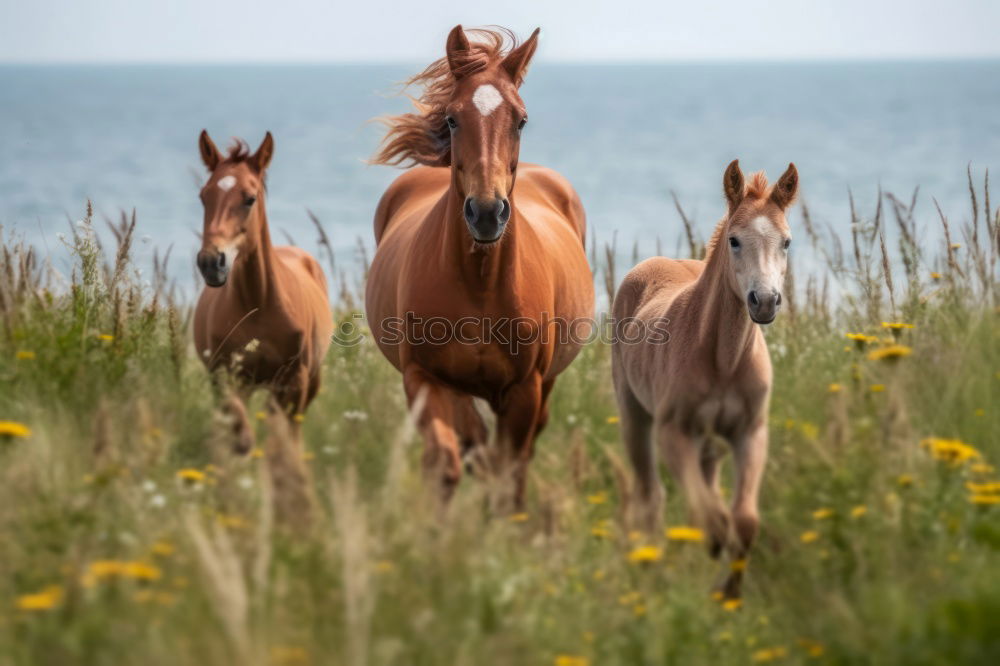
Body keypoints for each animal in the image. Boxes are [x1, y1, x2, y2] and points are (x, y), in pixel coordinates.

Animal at [193, 128, 334, 452]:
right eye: (204, 196)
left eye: (249, 198)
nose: (211, 263)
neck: (258, 305)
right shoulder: (227, 376)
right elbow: (242, 433)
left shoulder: (294, 382)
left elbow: (282, 438)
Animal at [366, 23, 592, 506]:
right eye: (453, 119)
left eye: (521, 119)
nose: (487, 213)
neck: (480, 286)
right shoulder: (425, 380)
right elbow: (446, 464)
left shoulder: (525, 390)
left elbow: (508, 477)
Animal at [608, 160, 796, 596]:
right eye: (734, 240)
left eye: (786, 242)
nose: (764, 301)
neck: (723, 362)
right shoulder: (673, 432)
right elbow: (710, 517)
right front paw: (708, 561)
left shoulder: (750, 432)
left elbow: (743, 522)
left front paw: (728, 593)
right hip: (635, 416)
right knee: (651, 495)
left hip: (709, 443)